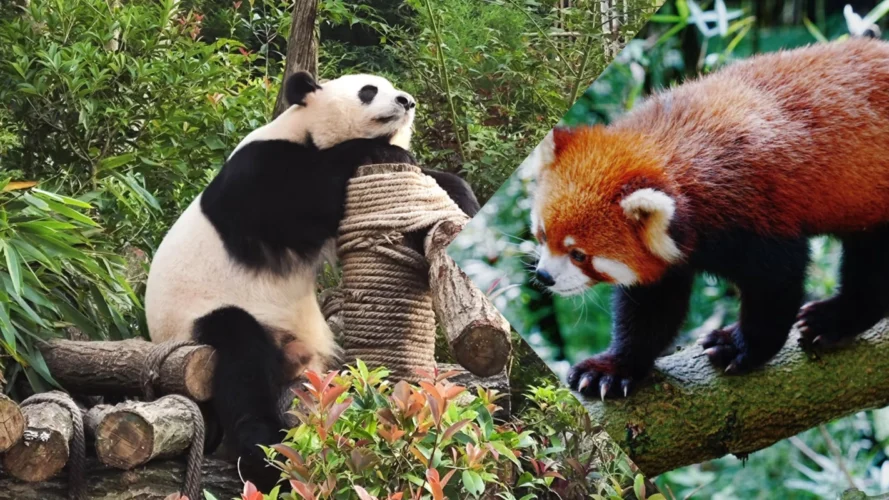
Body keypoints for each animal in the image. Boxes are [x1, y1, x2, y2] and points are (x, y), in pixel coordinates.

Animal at [144, 71, 479, 490]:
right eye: (368, 90)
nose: (406, 101)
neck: (305, 133)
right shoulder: (259, 172)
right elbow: (299, 201)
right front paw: (381, 151)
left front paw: (464, 200)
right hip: (203, 317)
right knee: (242, 360)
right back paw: (266, 452)